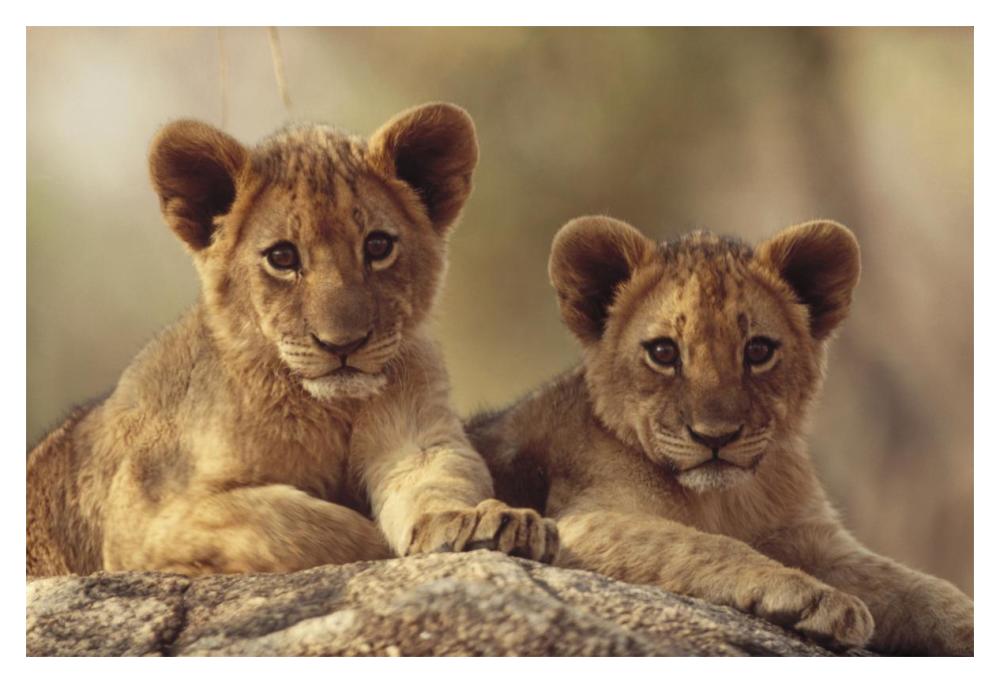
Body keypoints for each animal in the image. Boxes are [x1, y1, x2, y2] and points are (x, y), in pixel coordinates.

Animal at [27, 103, 557, 577]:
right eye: (282, 257)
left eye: (378, 246)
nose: (342, 344)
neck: (332, 412)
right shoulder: (145, 514)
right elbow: (296, 525)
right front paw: (381, 547)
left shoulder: (421, 435)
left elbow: (439, 479)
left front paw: (482, 522)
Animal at [467, 215, 973, 655]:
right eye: (663, 352)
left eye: (759, 350)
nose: (716, 437)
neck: (726, 500)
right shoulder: (584, 523)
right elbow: (703, 544)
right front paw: (816, 598)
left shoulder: (818, 539)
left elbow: (918, 585)